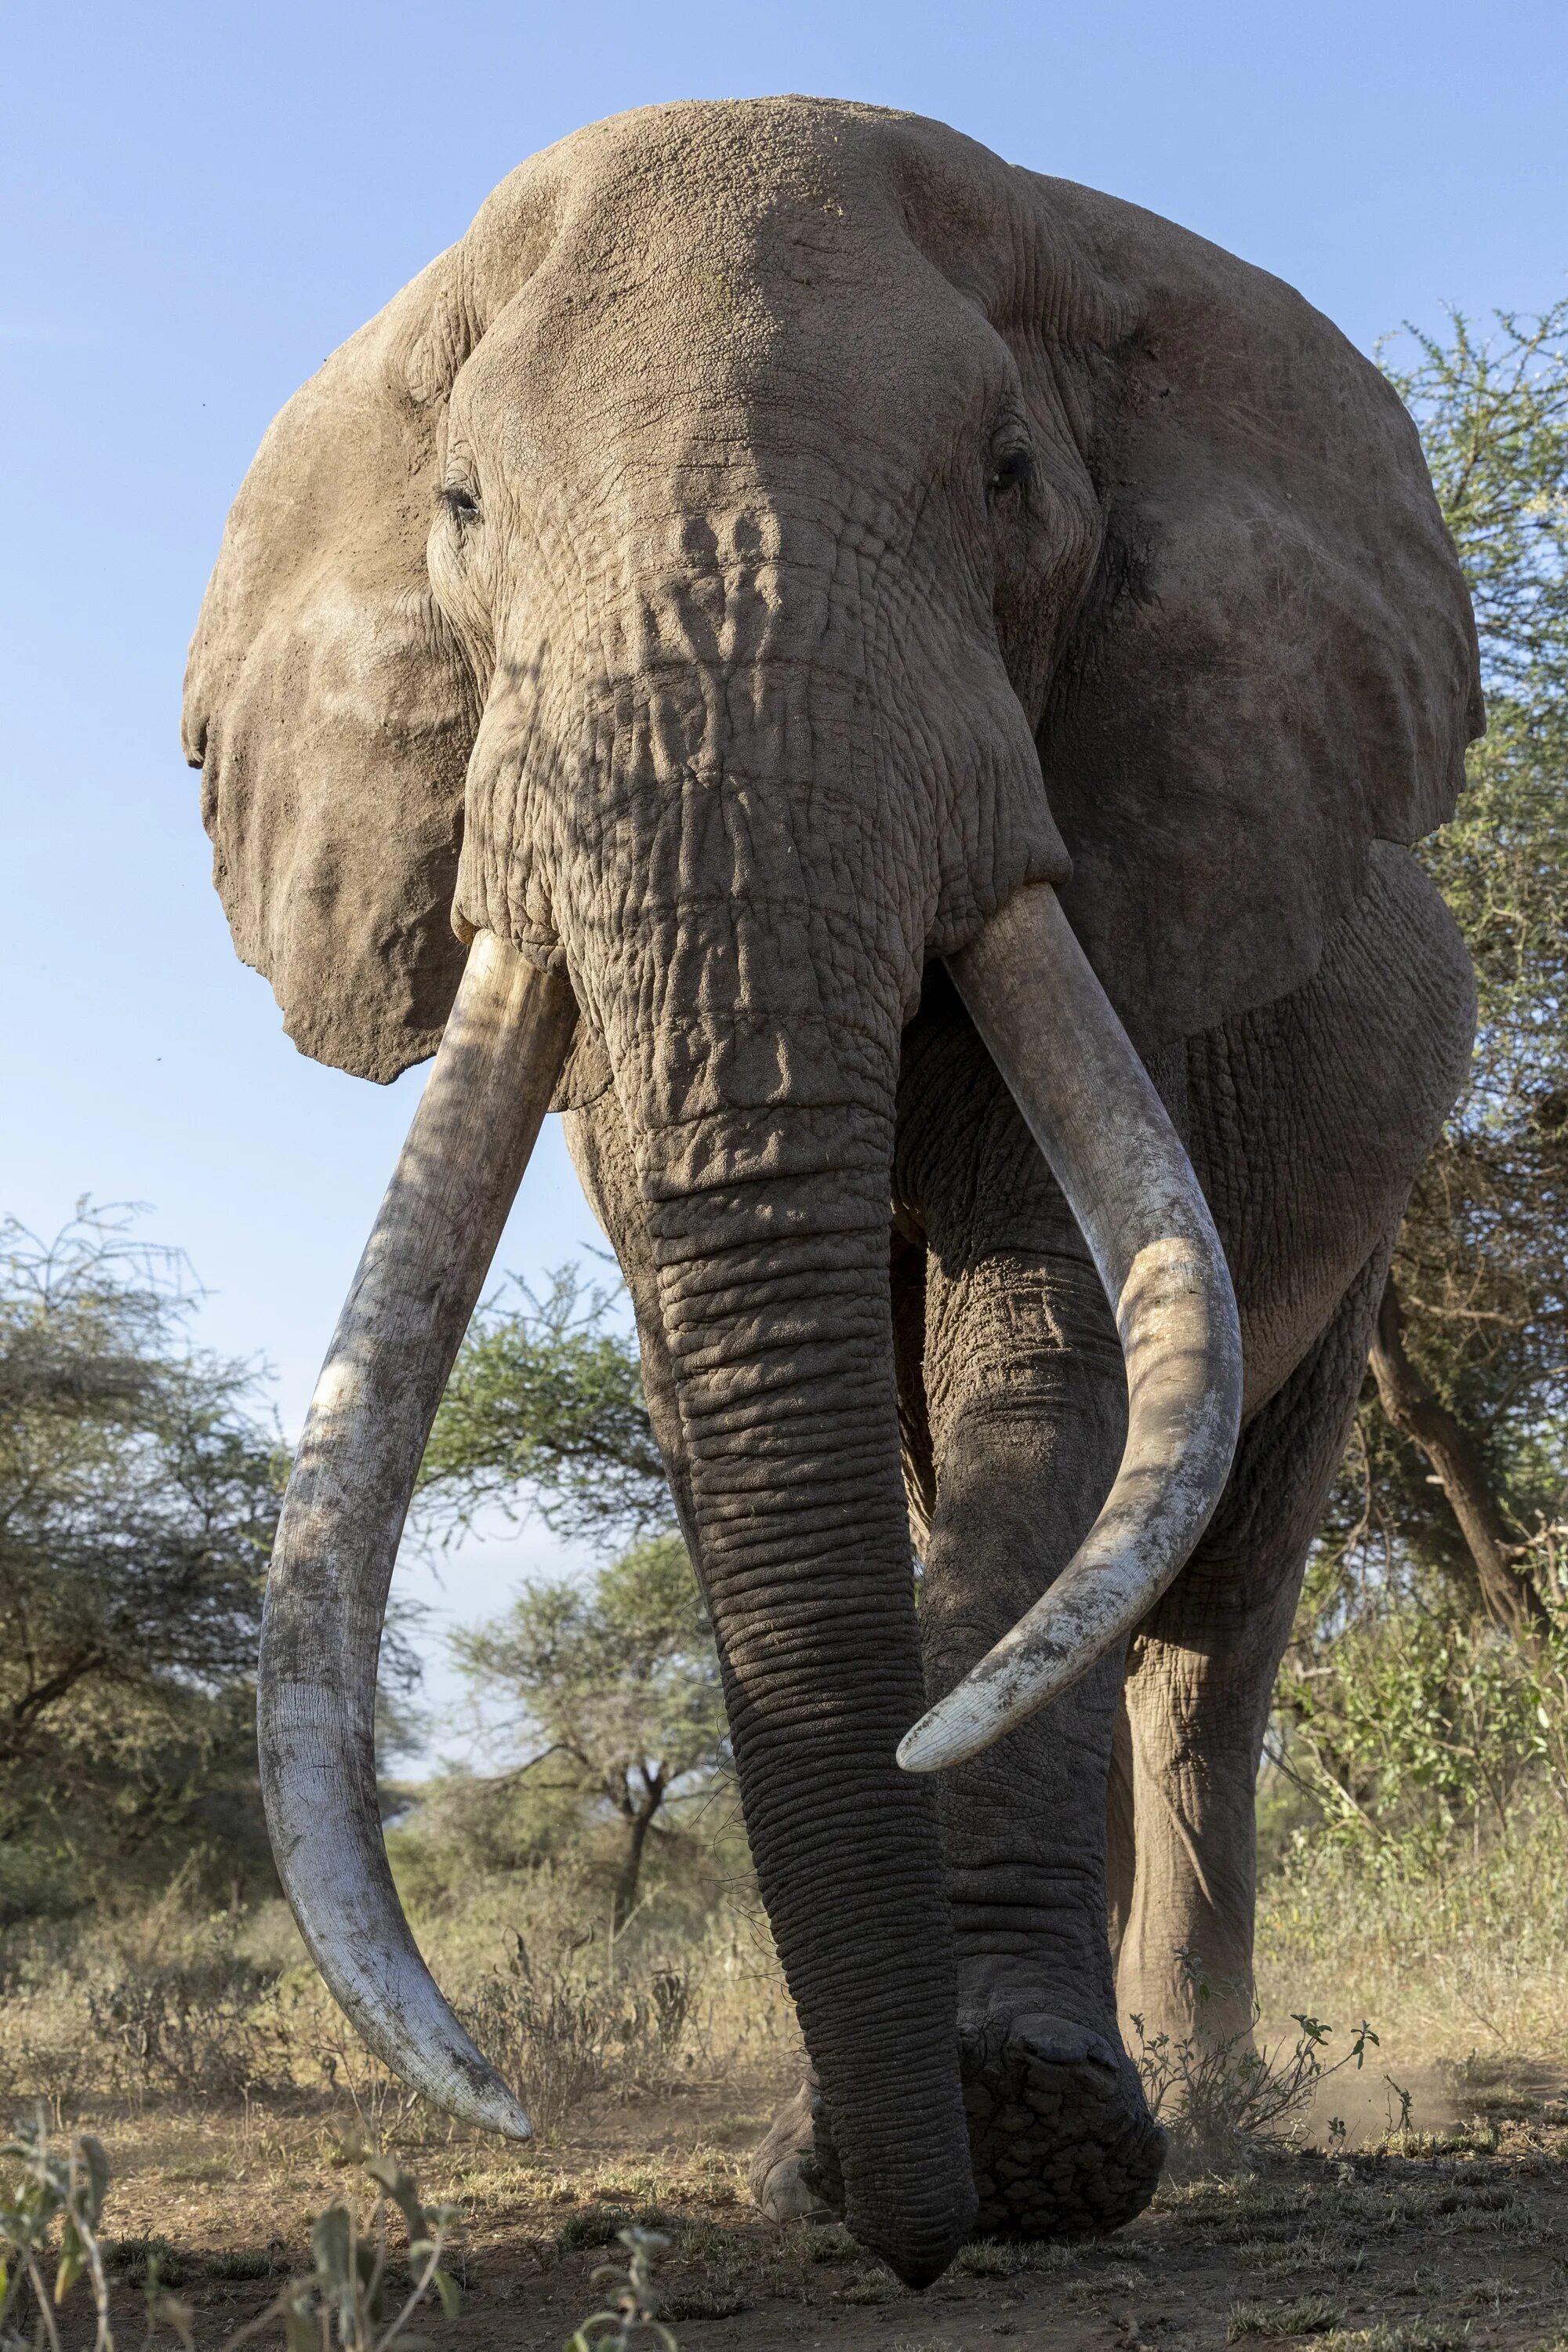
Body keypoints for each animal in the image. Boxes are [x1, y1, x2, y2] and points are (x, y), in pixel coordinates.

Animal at [184, 101, 1486, 2286]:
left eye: (1009, 478)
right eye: (459, 504)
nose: (907, 2242)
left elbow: (1048, 1346)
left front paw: (1033, 2144)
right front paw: (881, 2148)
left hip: (1378, 1210)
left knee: (1211, 1626)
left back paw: (1204, 2097)